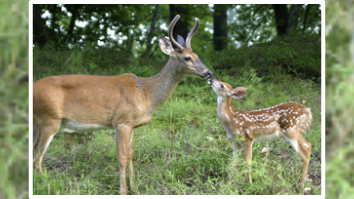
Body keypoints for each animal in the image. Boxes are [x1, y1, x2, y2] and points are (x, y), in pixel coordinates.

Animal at [33, 15, 212, 194]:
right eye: (187, 58)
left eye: (197, 55)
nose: (208, 72)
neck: (146, 94)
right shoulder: (121, 121)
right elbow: (122, 157)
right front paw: (123, 190)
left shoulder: (132, 125)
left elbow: (131, 154)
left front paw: (135, 187)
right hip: (49, 119)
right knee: (37, 157)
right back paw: (48, 186)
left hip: (39, 123)